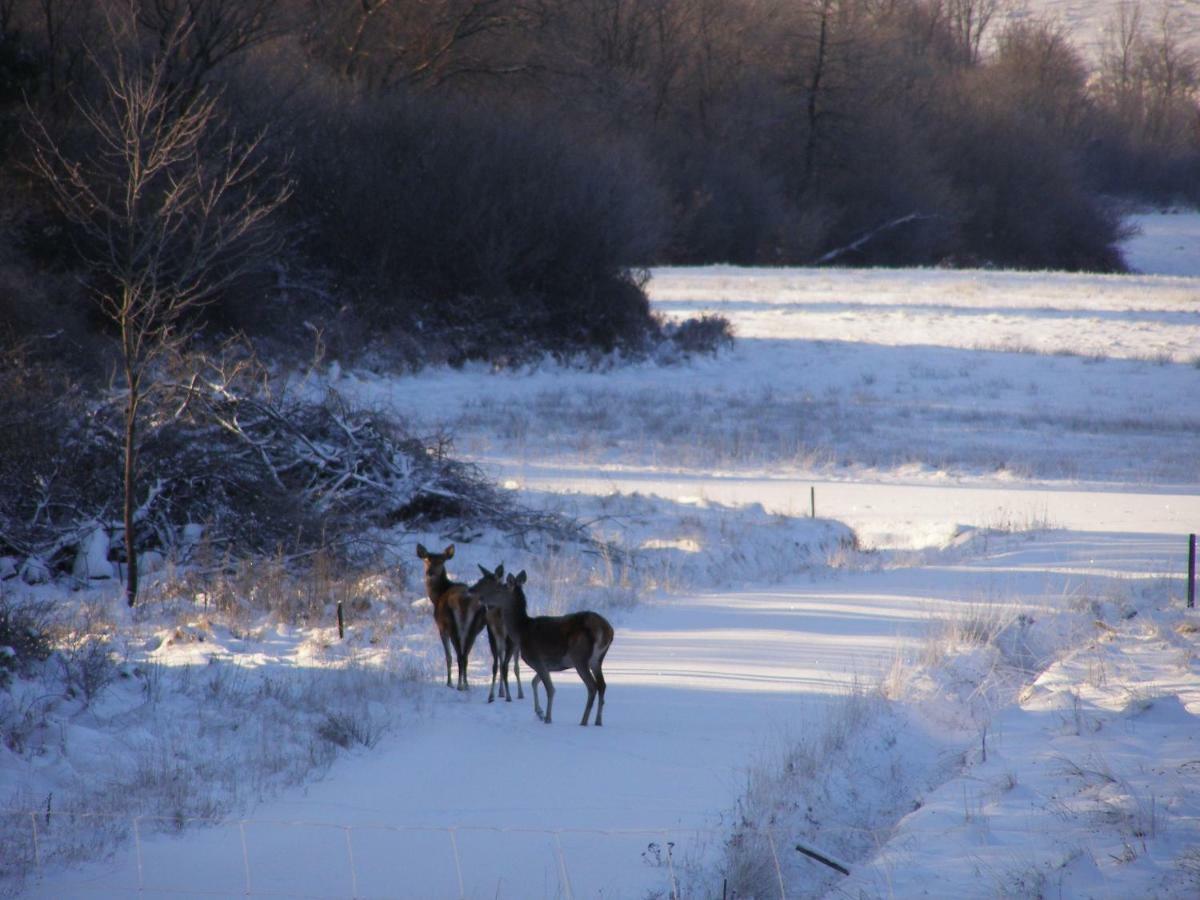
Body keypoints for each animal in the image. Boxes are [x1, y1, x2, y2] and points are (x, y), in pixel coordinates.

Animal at [415, 542, 484, 696]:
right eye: (426, 559)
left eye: (441, 561)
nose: (430, 573)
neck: (437, 596)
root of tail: (465, 600)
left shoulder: (441, 628)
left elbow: (448, 657)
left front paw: (449, 683)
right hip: (473, 628)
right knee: (465, 656)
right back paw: (466, 684)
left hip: (452, 625)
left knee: (459, 655)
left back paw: (459, 685)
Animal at [470, 564, 523, 705]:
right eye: (480, 579)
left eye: (486, 582)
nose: (470, 589)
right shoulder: (492, 636)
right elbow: (496, 665)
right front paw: (491, 695)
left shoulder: (510, 639)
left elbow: (506, 666)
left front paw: (509, 696)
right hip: (499, 640)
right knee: (501, 660)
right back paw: (501, 692)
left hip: (513, 643)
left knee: (514, 664)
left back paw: (520, 693)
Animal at [475, 573, 614, 729]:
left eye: (499, 589)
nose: (481, 599)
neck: (521, 631)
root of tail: (606, 630)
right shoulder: (547, 664)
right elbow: (534, 682)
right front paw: (540, 713)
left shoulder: (536, 658)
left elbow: (550, 689)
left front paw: (547, 718)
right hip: (597, 660)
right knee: (602, 685)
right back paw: (598, 721)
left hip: (580, 657)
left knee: (592, 687)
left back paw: (583, 722)